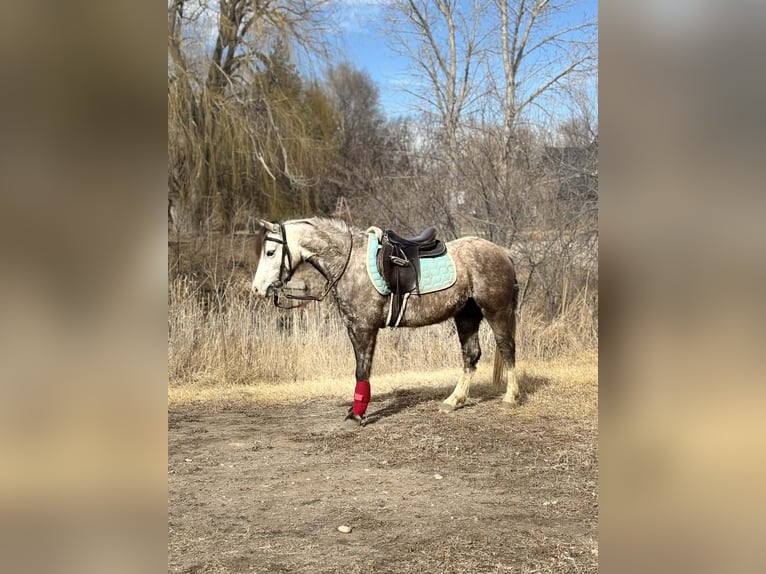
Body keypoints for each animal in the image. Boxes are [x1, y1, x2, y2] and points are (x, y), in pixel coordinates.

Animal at [250, 217, 520, 430]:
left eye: (270, 252)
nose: (257, 289)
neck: (350, 263)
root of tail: (503, 252)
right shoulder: (353, 327)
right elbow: (361, 369)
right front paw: (356, 412)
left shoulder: (364, 328)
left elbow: (362, 371)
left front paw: (356, 415)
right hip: (466, 315)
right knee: (471, 355)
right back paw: (454, 401)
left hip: (496, 312)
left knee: (507, 349)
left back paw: (510, 398)